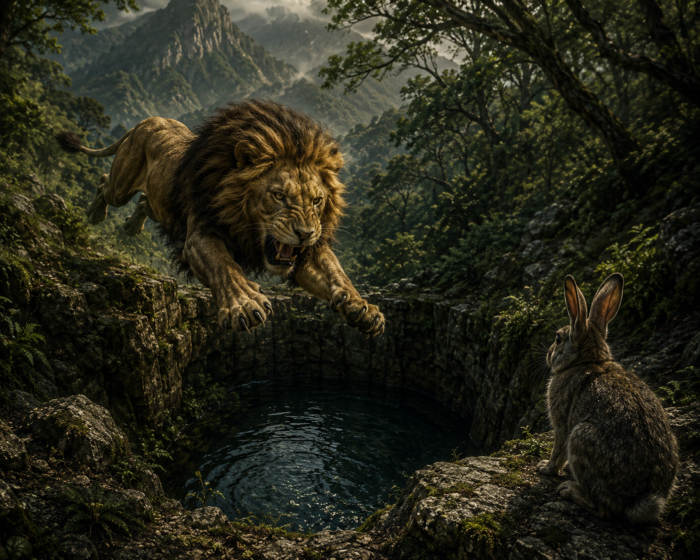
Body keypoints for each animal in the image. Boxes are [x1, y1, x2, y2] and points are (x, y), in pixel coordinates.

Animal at [56, 100, 385, 336]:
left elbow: (336, 273)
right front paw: (244, 303)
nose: (305, 233)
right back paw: (95, 214)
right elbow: (223, 266)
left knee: (145, 200)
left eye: (317, 201)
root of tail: (147, 121)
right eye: (279, 195)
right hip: (121, 184)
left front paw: (362, 308)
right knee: (104, 182)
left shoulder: (306, 254)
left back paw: (131, 225)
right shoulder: (199, 234)